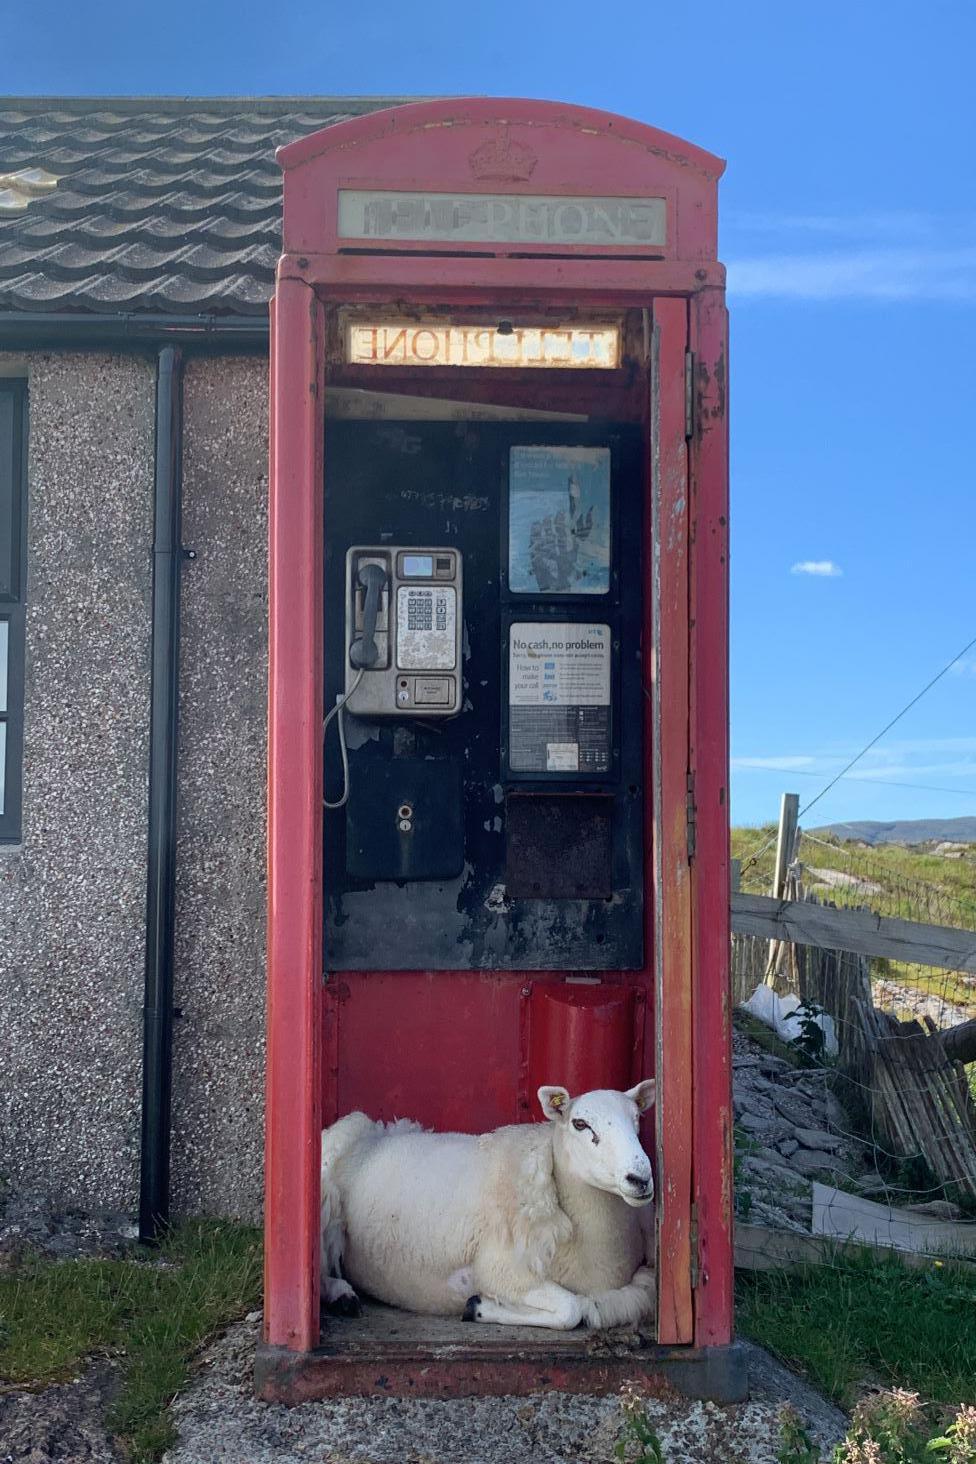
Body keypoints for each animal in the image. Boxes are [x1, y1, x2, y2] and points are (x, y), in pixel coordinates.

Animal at [320, 1077, 655, 1329]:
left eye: (637, 1119)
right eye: (580, 1124)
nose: (639, 1178)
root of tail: (368, 1135)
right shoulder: (502, 1269)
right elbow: (571, 1309)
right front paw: (478, 1306)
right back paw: (341, 1296)